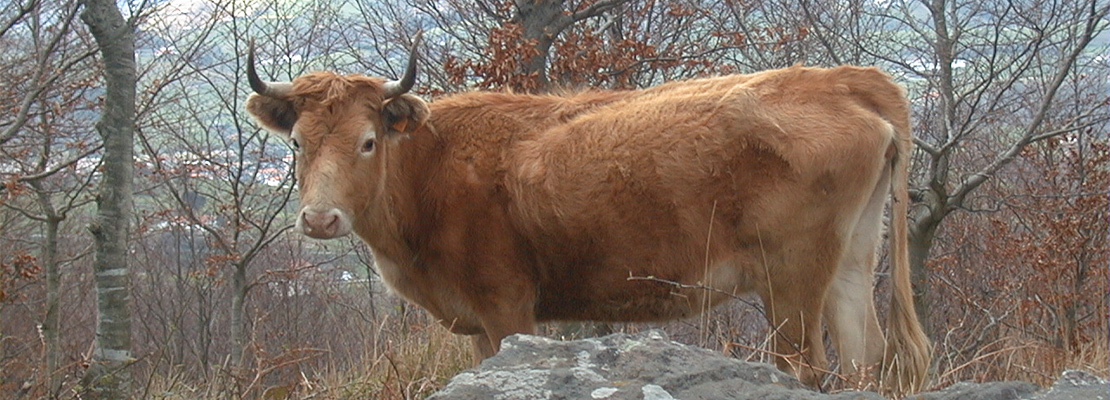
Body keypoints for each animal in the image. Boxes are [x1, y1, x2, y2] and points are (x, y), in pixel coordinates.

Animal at [247, 39, 932, 391]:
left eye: (368, 141)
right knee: (867, 356)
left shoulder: (505, 305)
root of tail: (841, 78)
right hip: (851, 259)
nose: (320, 220)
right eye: (296, 144)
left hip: (791, 277)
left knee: (809, 365)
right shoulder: (477, 322)